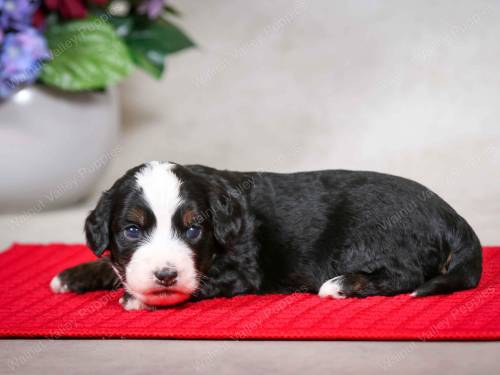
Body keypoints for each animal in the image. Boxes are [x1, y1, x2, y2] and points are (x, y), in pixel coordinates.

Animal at [49, 162, 480, 312]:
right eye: (132, 230)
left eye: (193, 229)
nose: (166, 275)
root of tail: (451, 213)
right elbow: (114, 264)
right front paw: (75, 275)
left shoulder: (243, 270)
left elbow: (204, 281)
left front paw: (140, 298)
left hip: (380, 237)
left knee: (405, 275)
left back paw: (340, 284)